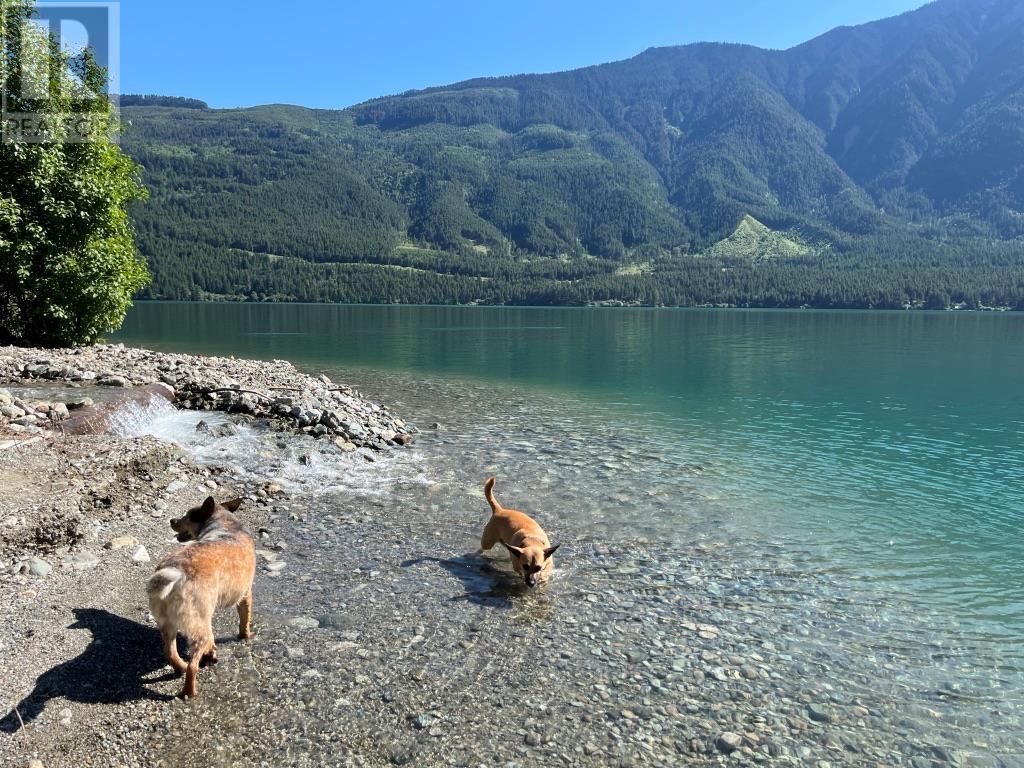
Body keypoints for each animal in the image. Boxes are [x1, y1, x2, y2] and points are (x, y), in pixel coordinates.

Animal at [145, 495, 254, 700]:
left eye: (188, 516)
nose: (172, 520)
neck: (225, 523)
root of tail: (176, 572)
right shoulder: (245, 594)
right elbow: (245, 620)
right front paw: (245, 635)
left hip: (168, 623)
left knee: (170, 652)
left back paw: (183, 666)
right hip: (200, 624)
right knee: (194, 664)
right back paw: (190, 690)